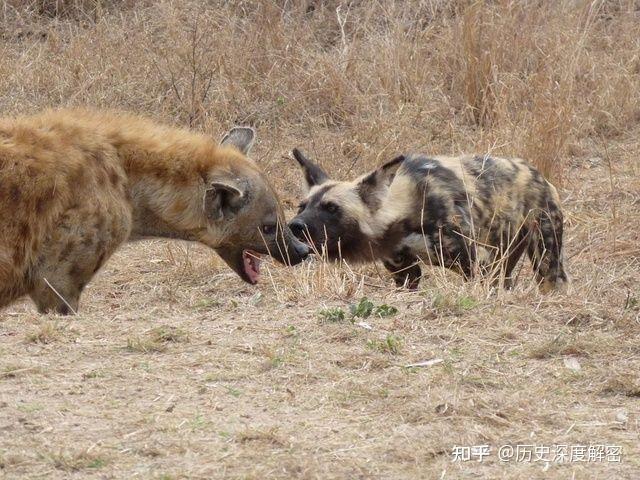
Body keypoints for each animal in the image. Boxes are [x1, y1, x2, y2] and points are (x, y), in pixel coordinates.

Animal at [288, 148, 568, 290]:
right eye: (302, 206)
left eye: (332, 208)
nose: (295, 226)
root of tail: (538, 175)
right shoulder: (404, 272)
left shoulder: (474, 264)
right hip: (503, 262)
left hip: (545, 259)